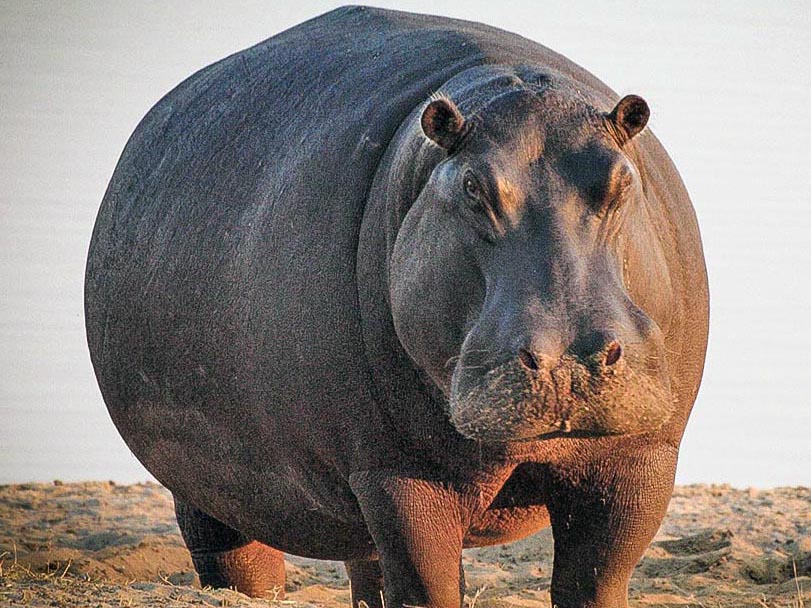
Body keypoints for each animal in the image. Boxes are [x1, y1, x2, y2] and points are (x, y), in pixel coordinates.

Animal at [84, 6, 709, 608]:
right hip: (211, 486)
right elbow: (426, 583)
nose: (567, 363)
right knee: (237, 560)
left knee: (368, 568)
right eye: (472, 188)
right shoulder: (397, 474)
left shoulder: (640, 462)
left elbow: (598, 580)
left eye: (622, 180)